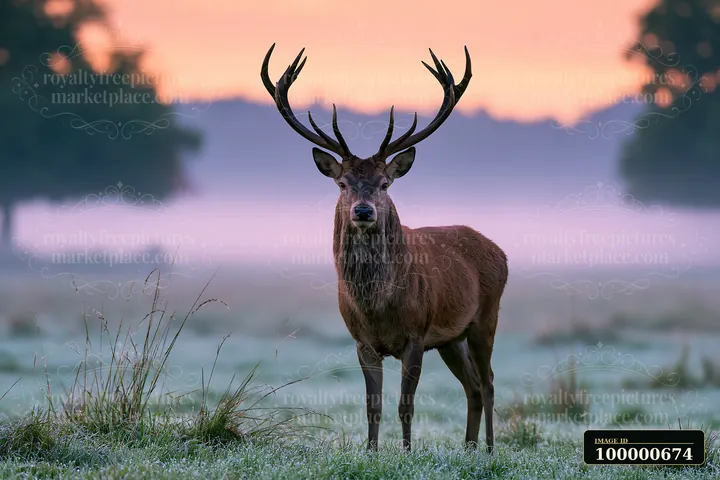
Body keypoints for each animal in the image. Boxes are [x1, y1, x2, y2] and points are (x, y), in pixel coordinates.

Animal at [261, 44, 508, 454]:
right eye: (343, 183)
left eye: (384, 184)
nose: (363, 211)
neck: (377, 305)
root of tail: (500, 252)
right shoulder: (362, 341)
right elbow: (372, 405)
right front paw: (372, 452)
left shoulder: (416, 334)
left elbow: (406, 404)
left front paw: (406, 453)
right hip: (450, 339)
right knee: (472, 385)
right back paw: (469, 449)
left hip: (484, 317)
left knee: (488, 380)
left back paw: (489, 448)